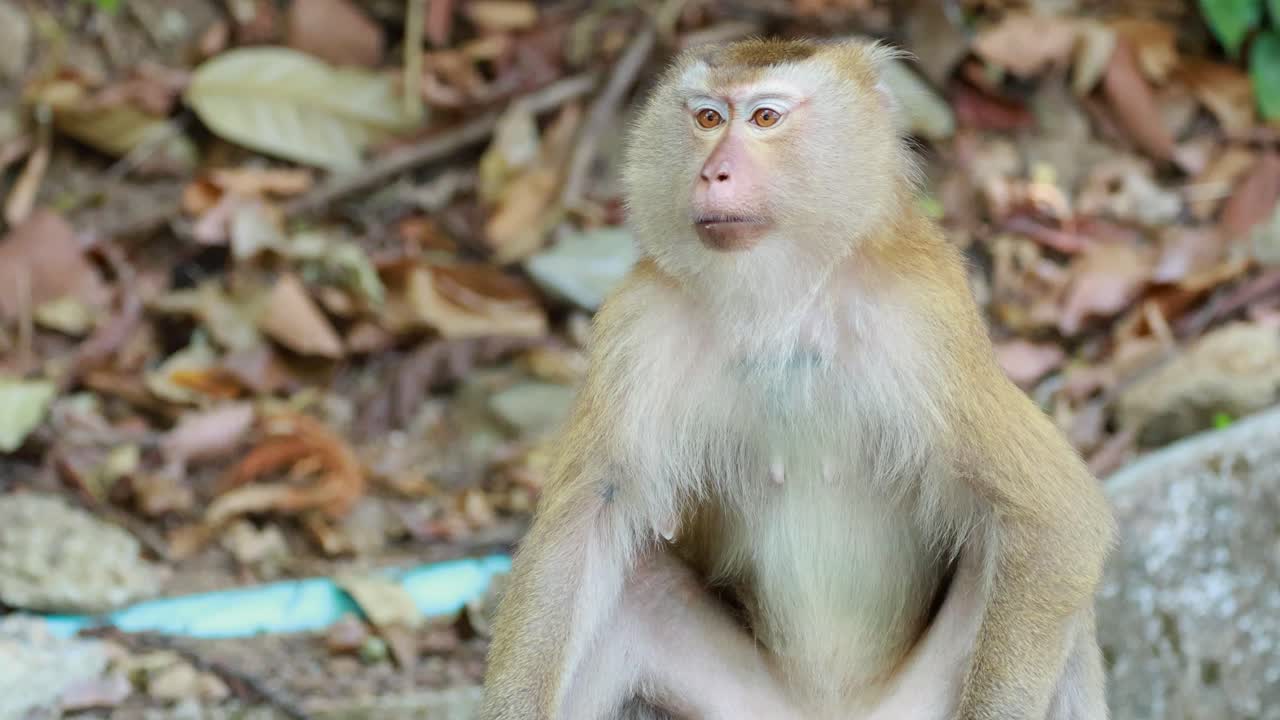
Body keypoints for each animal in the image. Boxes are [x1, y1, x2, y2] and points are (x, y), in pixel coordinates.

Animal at [480, 37, 1115, 720]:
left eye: (765, 117)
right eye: (708, 118)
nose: (714, 173)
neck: (782, 304)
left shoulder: (926, 323)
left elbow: (1055, 520)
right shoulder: (637, 328)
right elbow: (586, 521)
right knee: (636, 588)